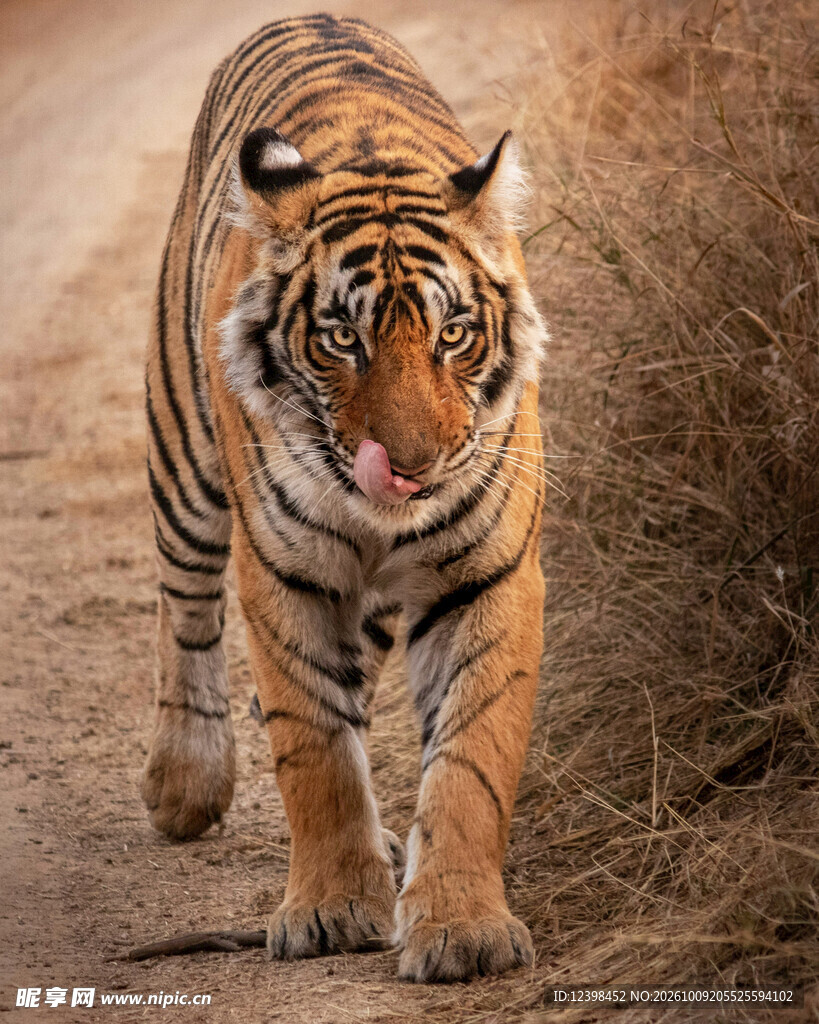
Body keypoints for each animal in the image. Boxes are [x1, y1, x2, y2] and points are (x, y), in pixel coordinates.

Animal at [141, 13, 547, 983]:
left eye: (452, 334)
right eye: (339, 340)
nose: (408, 467)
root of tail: (305, 14)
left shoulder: (488, 576)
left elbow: (471, 760)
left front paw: (462, 927)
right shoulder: (286, 575)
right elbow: (315, 751)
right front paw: (329, 909)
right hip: (182, 452)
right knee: (185, 605)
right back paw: (185, 782)